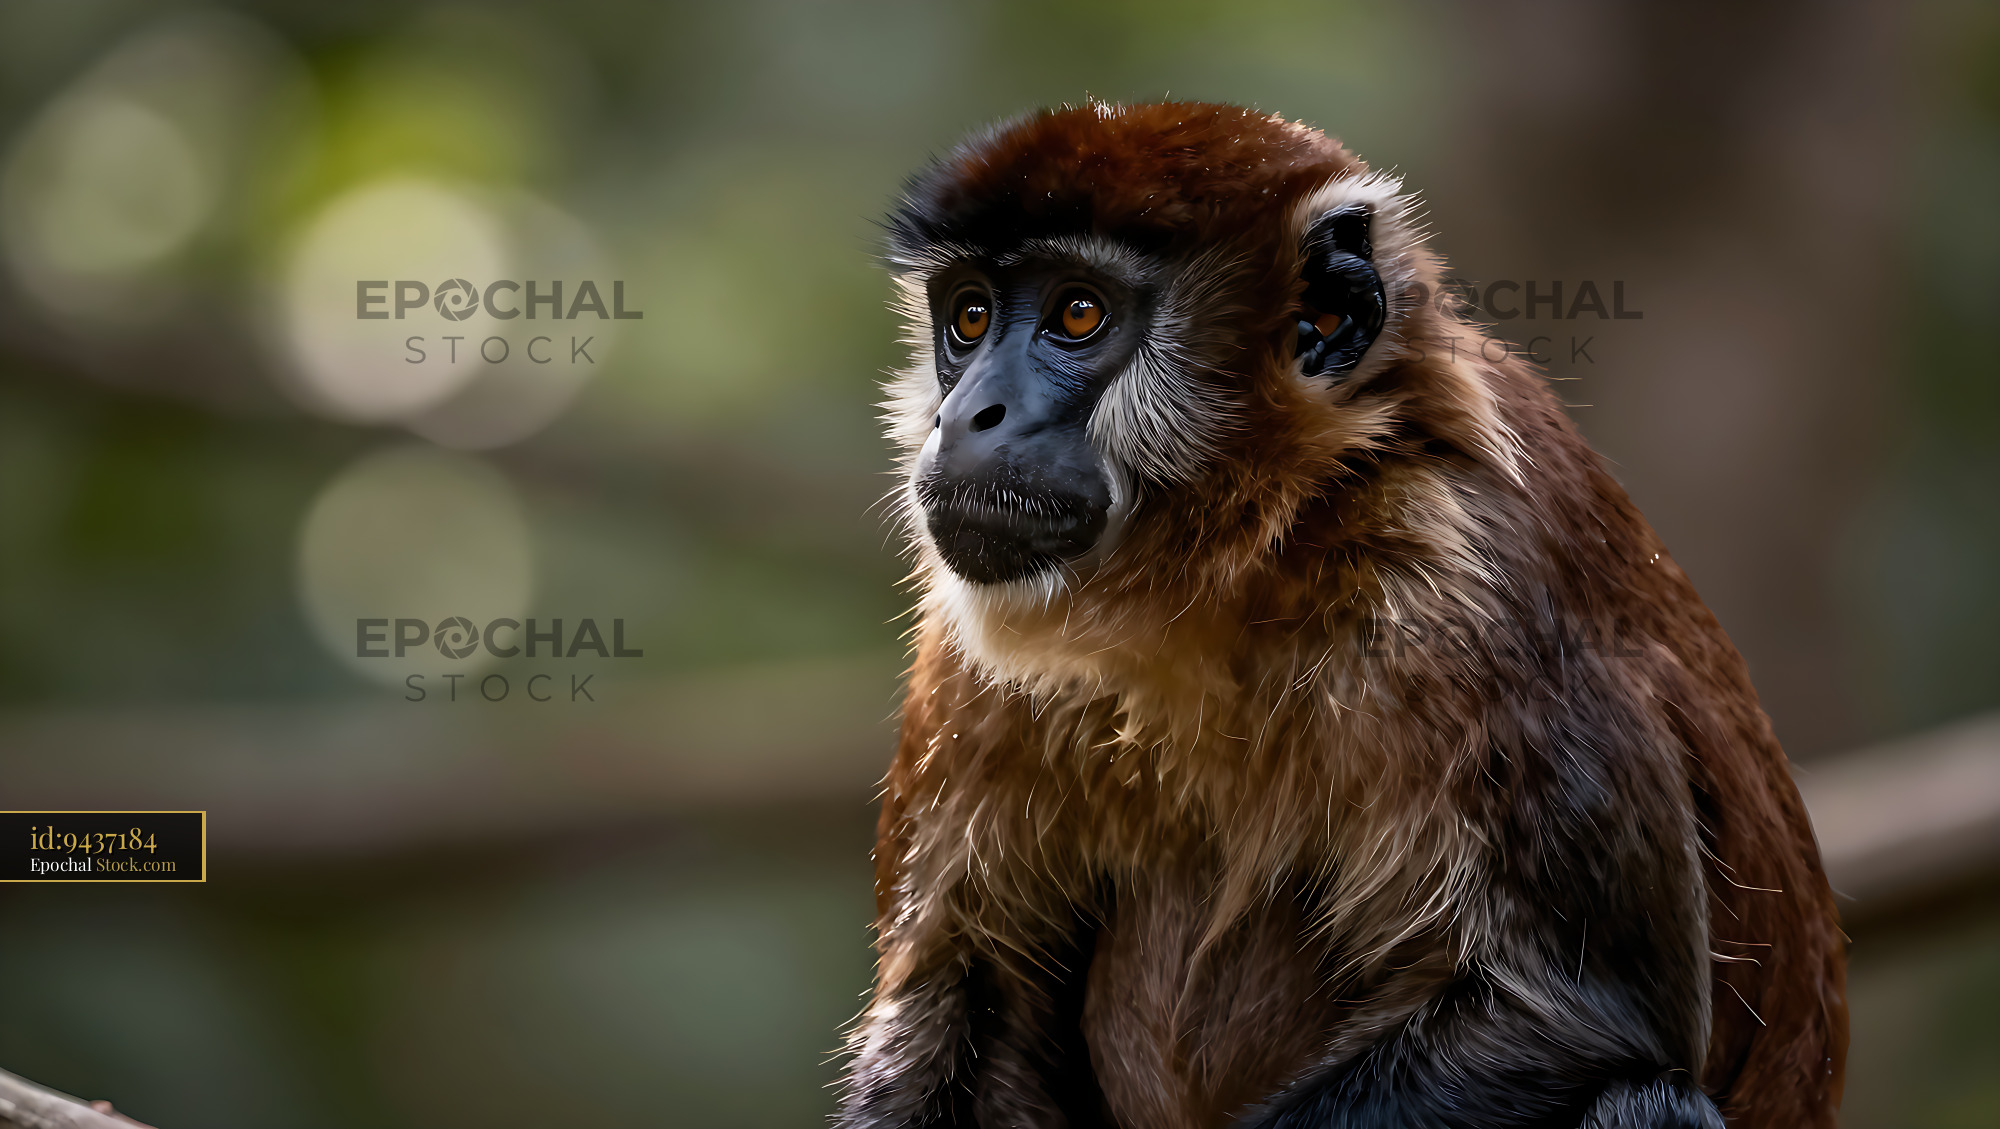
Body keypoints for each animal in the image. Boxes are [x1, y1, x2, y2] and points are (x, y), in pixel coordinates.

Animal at [840, 102, 1846, 1129]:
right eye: (968, 318)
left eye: (1077, 314)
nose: (969, 413)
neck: (1230, 573)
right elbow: (957, 995)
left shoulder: (1465, 561)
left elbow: (1580, 1009)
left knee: (1643, 1098)